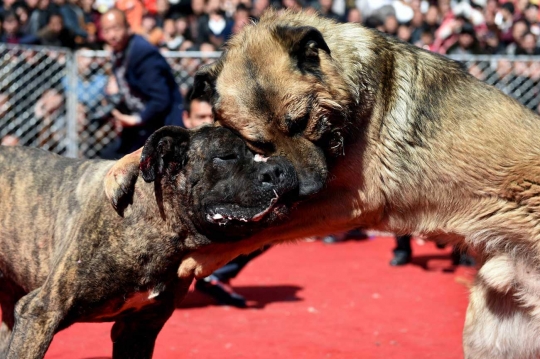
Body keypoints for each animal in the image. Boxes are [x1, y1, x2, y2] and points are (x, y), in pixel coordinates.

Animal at [106, 9, 540, 358]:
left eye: (300, 122)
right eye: (259, 143)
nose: (304, 189)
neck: (352, 95)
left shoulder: (350, 199)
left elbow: (261, 228)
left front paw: (201, 258)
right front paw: (117, 171)